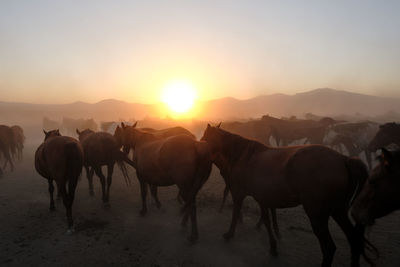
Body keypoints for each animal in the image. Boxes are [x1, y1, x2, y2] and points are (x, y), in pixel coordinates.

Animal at [202, 125, 376, 267]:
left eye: (205, 137)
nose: (200, 150)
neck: (243, 156)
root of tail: (344, 159)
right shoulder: (263, 198)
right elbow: (266, 220)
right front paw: (273, 246)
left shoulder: (239, 194)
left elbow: (236, 213)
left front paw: (229, 234)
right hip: (338, 211)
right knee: (354, 241)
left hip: (318, 215)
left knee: (329, 248)